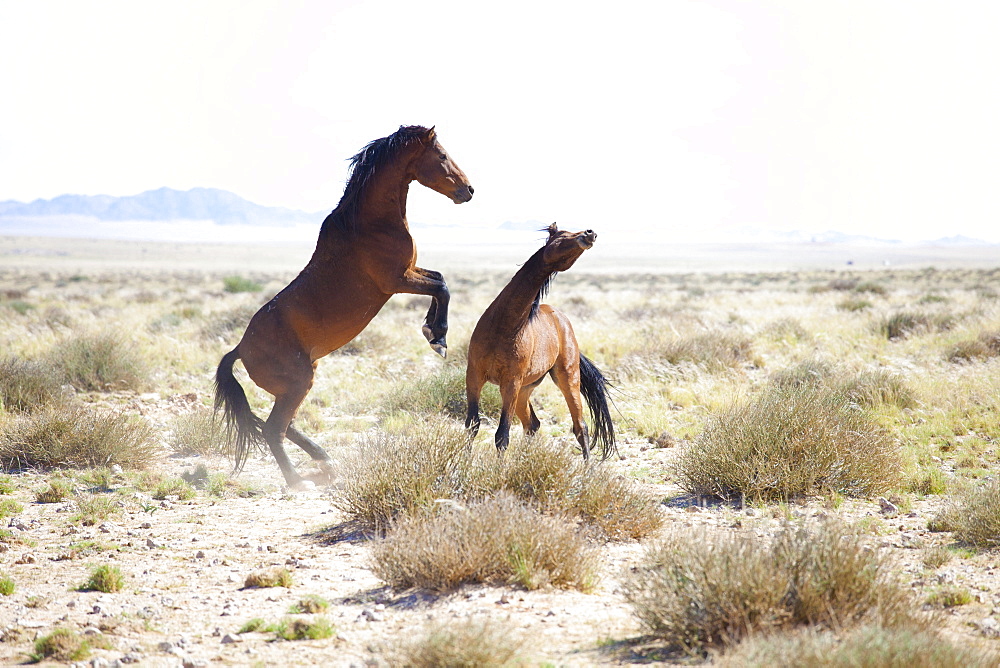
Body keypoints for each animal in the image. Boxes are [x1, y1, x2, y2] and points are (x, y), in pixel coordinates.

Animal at [215, 125, 472, 488]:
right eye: (442, 155)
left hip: (298, 384)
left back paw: (325, 461)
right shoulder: (396, 281)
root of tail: (239, 349)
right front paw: (438, 339)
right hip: (297, 383)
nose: (469, 190)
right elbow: (443, 287)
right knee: (273, 429)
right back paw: (298, 481)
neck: (369, 223)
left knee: (285, 425)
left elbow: (439, 279)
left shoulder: (410, 272)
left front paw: (430, 330)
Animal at [464, 224, 612, 460]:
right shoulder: (474, 376)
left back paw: (587, 468)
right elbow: (472, 425)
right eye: (561, 234)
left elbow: (502, 435)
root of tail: (560, 318)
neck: (504, 326)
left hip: (566, 378)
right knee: (532, 424)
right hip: (525, 390)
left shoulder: (510, 383)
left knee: (580, 426)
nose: (590, 233)